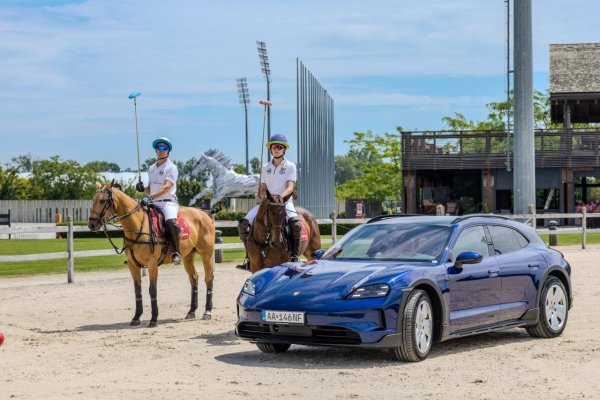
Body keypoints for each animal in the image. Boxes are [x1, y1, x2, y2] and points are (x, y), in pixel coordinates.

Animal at [86, 183, 213, 326]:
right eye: (94, 200)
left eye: (103, 201)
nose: (92, 224)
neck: (137, 226)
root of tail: (204, 213)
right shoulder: (132, 265)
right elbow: (138, 290)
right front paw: (136, 317)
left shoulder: (152, 263)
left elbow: (152, 289)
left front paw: (154, 319)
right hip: (188, 256)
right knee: (194, 278)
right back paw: (191, 311)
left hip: (206, 253)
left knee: (209, 278)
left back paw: (207, 312)